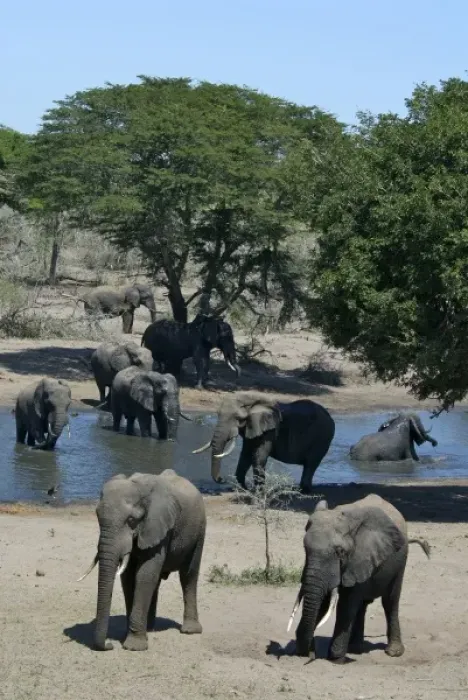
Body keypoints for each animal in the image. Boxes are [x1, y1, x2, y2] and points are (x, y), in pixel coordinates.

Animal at [77, 470, 206, 651]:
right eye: (97, 516)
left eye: (131, 520)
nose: (109, 645)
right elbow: (128, 577)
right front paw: (127, 636)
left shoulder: (158, 526)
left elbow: (144, 575)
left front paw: (134, 646)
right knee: (157, 581)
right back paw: (150, 629)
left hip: (199, 529)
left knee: (188, 575)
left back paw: (189, 630)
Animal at [192, 391, 335, 493]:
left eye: (238, 418)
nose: (222, 479)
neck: (253, 398)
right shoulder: (252, 427)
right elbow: (245, 456)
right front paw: (243, 489)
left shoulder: (269, 430)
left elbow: (259, 456)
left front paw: (258, 492)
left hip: (322, 438)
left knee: (311, 464)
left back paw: (304, 491)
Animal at [290, 494, 430, 663]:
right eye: (305, 548)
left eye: (340, 552)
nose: (308, 654)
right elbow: (324, 601)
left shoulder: (360, 557)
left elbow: (346, 604)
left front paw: (335, 659)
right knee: (362, 605)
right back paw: (355, 649)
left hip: (401, 561)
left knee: (390, 601)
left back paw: (393, 652)